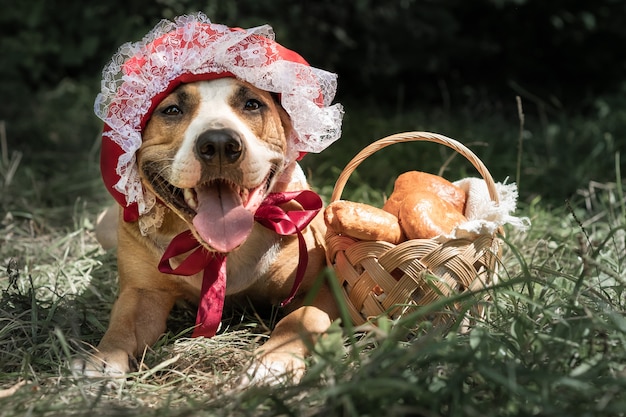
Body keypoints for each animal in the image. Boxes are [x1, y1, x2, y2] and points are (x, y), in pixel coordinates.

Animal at [76, 75, 342, 384]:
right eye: (172, 110)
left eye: (252, 104)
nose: (219, 144)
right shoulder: (142, 292)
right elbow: (122, 325)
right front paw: (102, 360)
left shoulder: (320, 287)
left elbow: (298, 321)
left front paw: (272, 362)